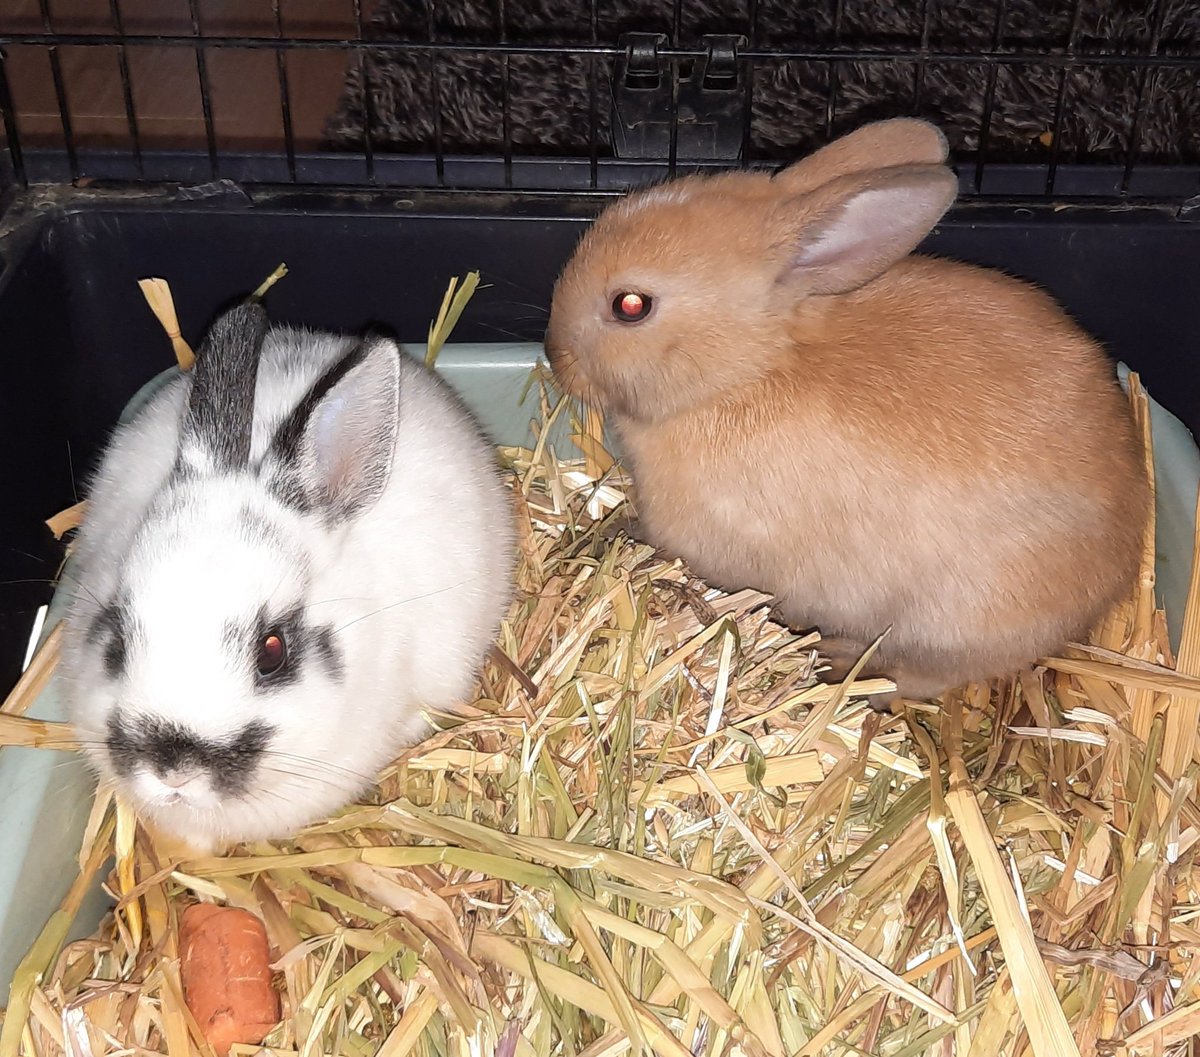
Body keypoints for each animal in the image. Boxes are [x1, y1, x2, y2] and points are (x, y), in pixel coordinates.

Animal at [544, 117, 1151, 702]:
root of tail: (1114, 575)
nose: (554, 355)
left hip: (949, 625)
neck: (749, 372)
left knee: (919, 676)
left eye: (631, 305)